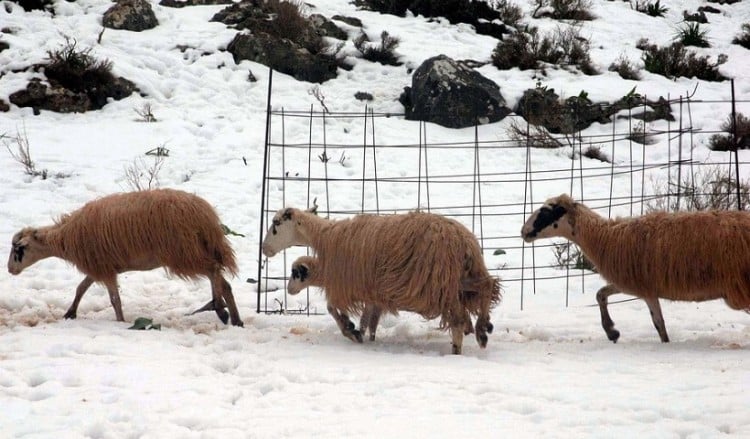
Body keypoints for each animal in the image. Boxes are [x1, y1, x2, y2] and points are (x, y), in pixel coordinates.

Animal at [7, 188, 242, 326]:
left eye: (18, 250)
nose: (10, 270)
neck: (65, 238)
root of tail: (206, 216)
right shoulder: (100, 267)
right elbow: (81, 288)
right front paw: (69, 313)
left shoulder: (103, 268)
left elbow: (114, 300)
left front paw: (120, 322)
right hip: (195, 250)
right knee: (224, 282)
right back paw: (234, 318)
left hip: (184, 253)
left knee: (213, 271)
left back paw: (219, 308)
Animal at [288, 256, 488, 346]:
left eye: (296, 273)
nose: (289, 290)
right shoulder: (375, 301)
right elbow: (370, 322)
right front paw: (361, 334)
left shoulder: (370, 298)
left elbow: (355, 317)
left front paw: (354, 331)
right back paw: (472, 329)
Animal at [524, 195, 750, 344]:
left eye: (546, 211)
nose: (523, 231)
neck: (605, 237)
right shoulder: (633, 283)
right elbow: (601, 295)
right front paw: (612, 332)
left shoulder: (645, 288)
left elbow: (659, 325)